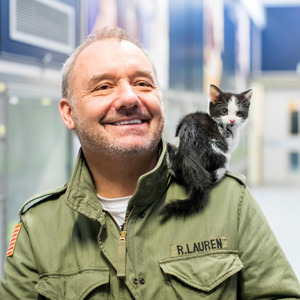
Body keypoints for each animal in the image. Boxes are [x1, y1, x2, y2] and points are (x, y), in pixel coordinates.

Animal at [161, 83, 252, 217]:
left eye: (239, 113)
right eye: (224, 111)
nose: (232, 120)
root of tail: (188, 149)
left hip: (173, 145)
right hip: (218, 150)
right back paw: (223, 170)